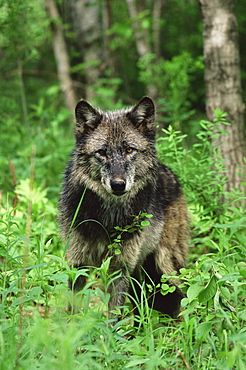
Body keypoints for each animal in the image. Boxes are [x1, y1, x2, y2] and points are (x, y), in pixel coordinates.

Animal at [58, 97, 189, 320]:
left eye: (129, 150)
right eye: (102, 152)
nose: (118, 184)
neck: (108, 218)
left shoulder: (120, 266)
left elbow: (113, 315)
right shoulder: (78, 262)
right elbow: (73, 307)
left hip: (166, 267)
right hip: (141, 273)